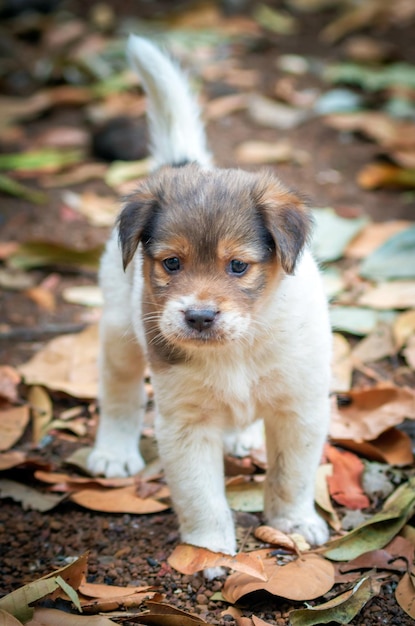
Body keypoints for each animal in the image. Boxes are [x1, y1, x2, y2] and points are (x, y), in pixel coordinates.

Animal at [89, 35, 334, 572]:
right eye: (172, 264)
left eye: (238, 266)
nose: (199, 316)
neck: (239, 346)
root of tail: (182, 164)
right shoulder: (185, 423)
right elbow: (201, 495)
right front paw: (205, 550)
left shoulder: (300, 408)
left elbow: (290, 476)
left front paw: (292, 524)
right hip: (118, 331)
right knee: (119, 394)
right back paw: (113, 451)